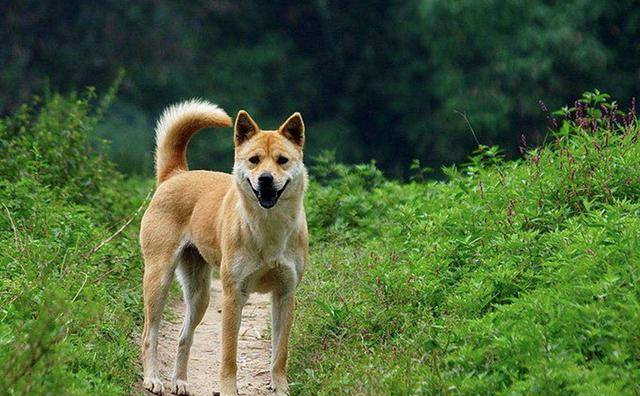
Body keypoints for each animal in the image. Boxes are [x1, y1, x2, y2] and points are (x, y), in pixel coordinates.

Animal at [141, 101, 310, 396]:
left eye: (282, 160)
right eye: (254, 160)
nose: (266, 179)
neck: (268, 228)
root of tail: (176, 174)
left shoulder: (285, 295)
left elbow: (280, 354)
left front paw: (280, 388)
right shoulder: (234, 295)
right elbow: (229, 355)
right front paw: (229, 389)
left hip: (200, 295)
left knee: (184, 338)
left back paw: (180, 382)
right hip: (158, 279)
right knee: (149, 334)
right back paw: (153, 379)